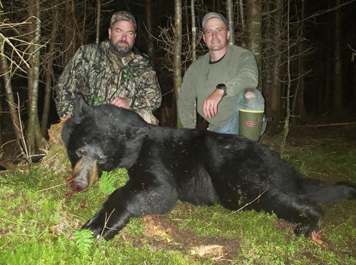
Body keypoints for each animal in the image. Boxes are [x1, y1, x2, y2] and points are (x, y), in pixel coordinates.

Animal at [62, 96, 356, 239]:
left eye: (102, 157)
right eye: (78, 151)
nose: (79, 183)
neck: (139, 141)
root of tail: (278, 160)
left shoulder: (155, 156)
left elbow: (158, 191)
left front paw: (96, 226)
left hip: (231, 167)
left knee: (260, 194)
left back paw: (310, 220)